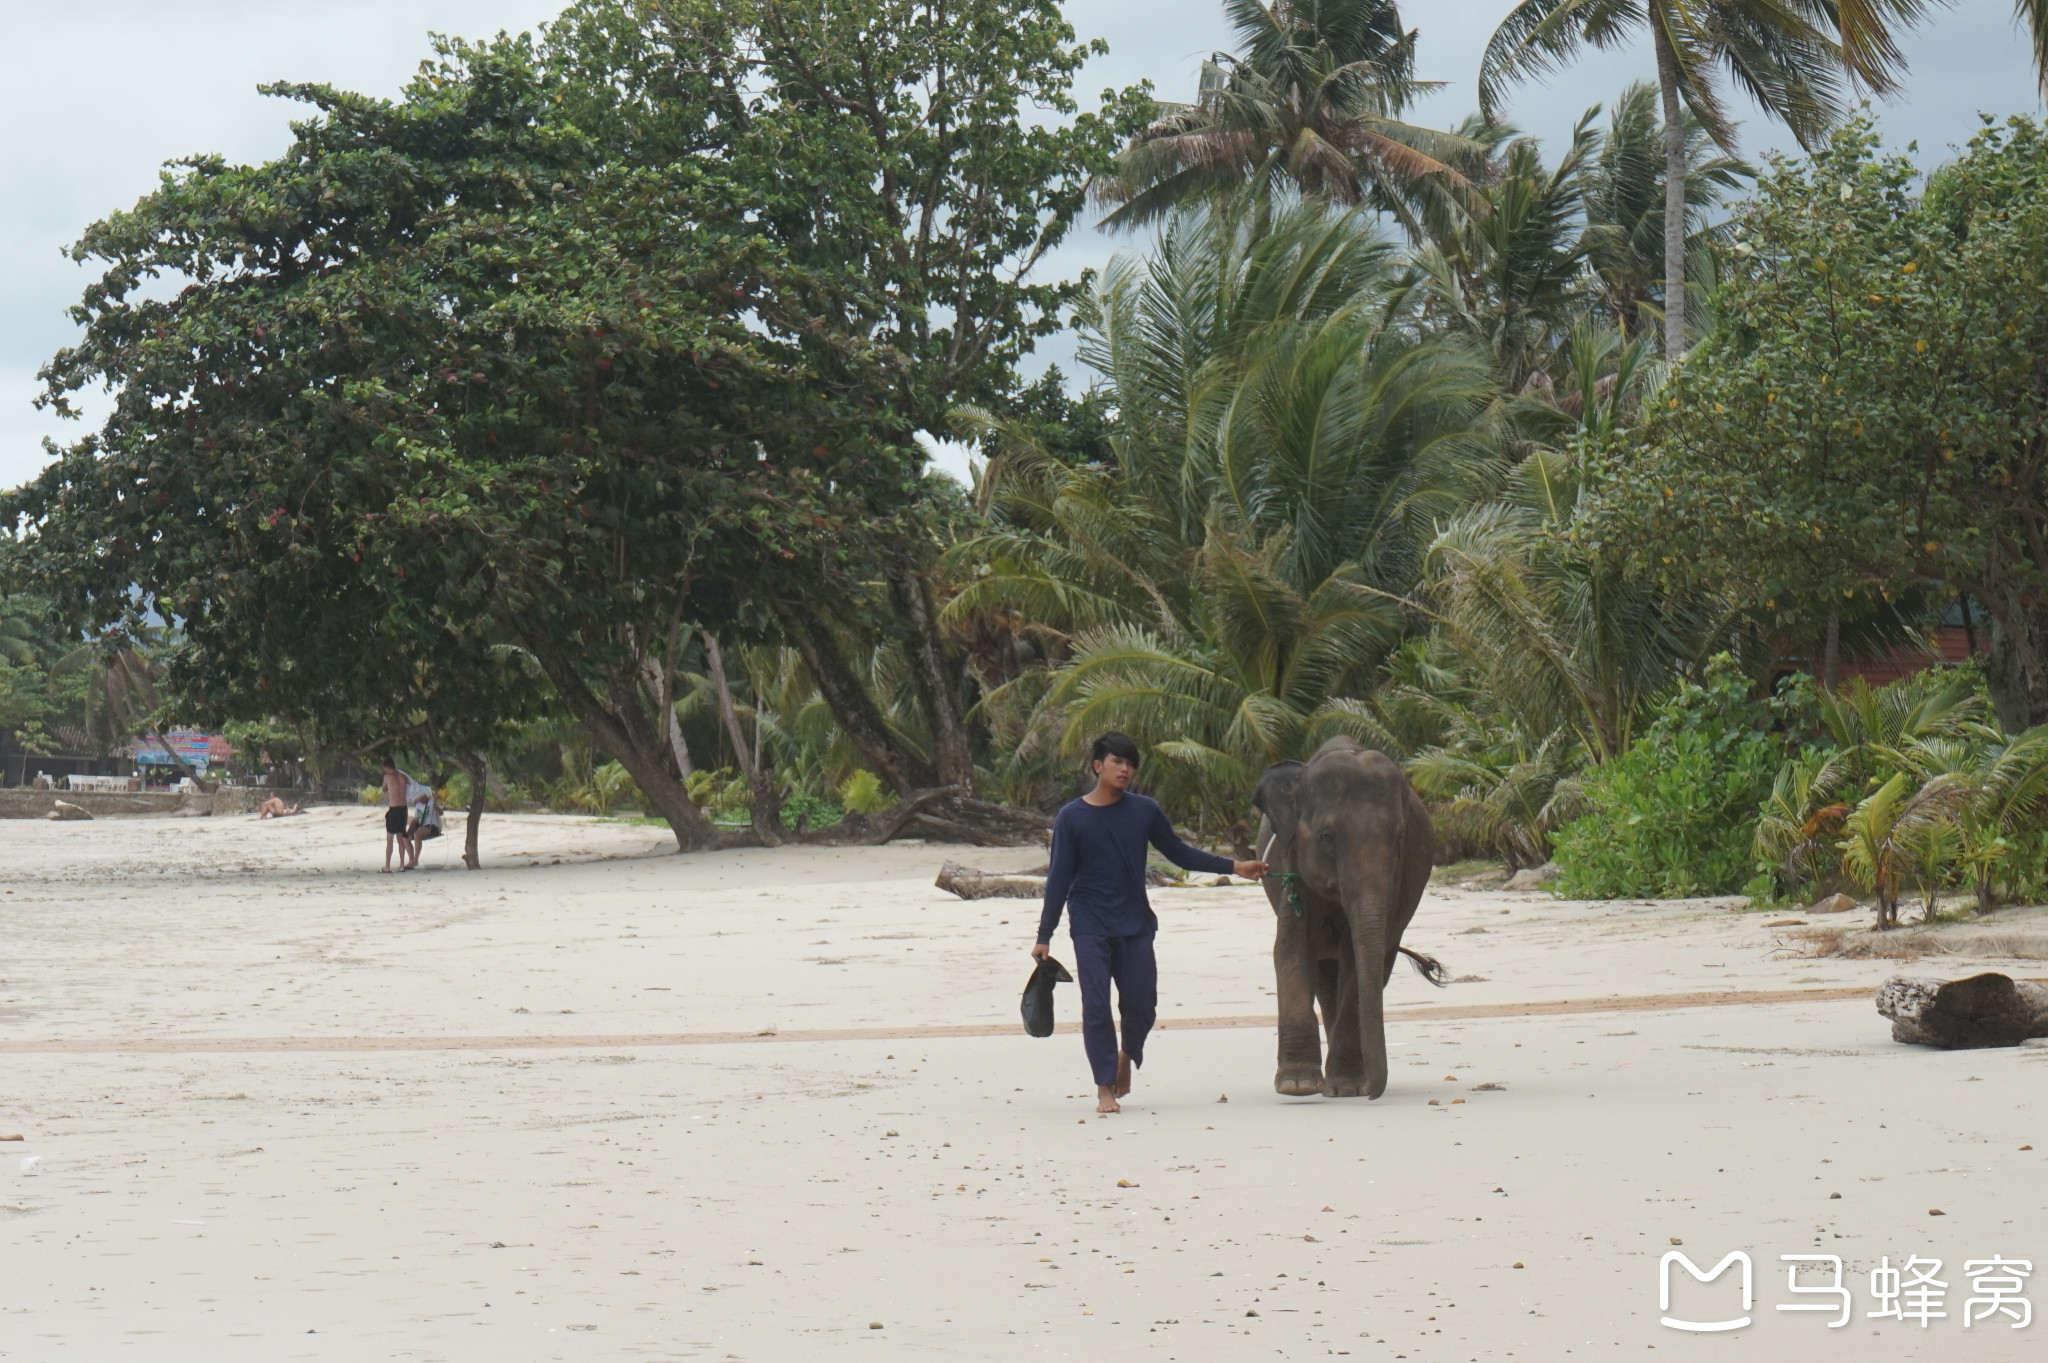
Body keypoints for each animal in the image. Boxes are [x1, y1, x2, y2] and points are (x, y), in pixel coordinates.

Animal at [1245, 732, 1441, 1096]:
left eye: (1399, 838)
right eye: (1327, 837)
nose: (1374, 1093)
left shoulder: (1399, 875)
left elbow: (1356, 959)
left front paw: (1348, 1087)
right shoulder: (1293, 862)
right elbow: (1290, 949)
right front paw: (1298, 1085)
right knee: (1324, 973)